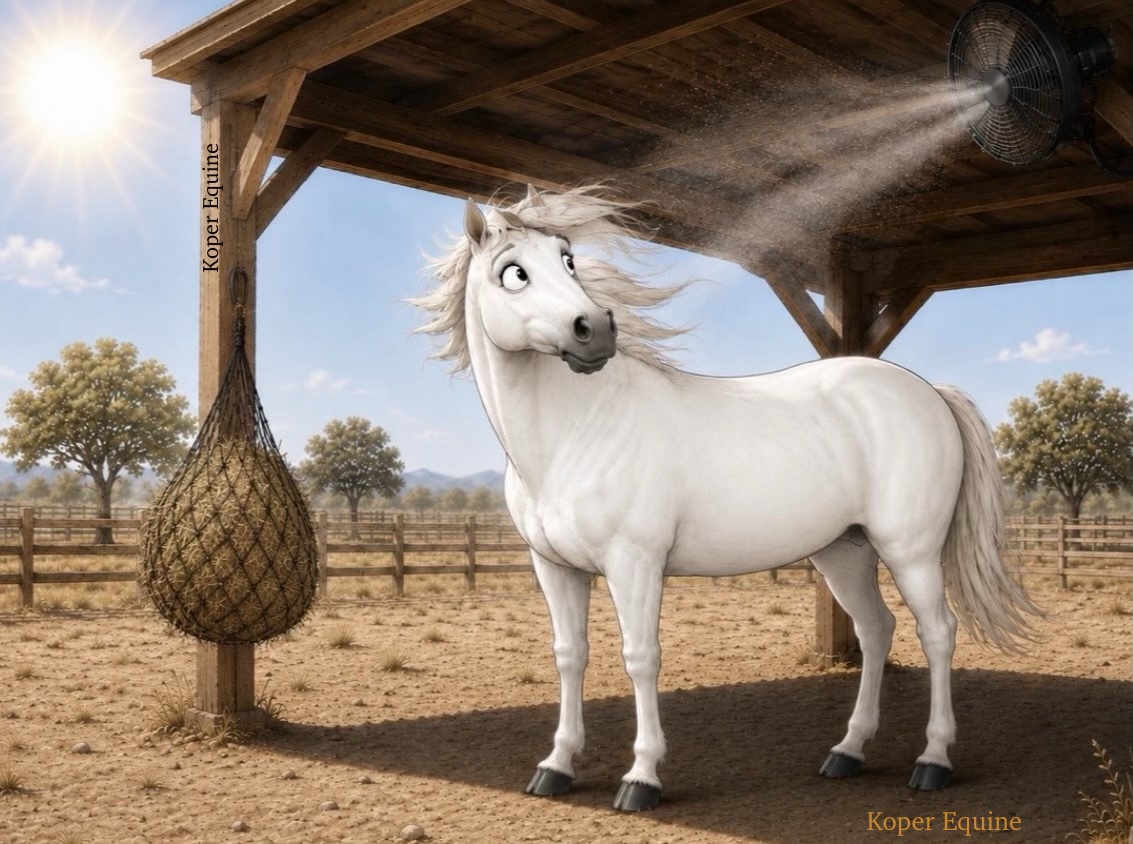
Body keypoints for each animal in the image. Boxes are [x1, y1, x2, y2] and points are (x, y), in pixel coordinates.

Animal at [412, 184, 1041, 812]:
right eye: (513, 273)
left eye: (568, 260)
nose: (594, 330)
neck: (575, 431)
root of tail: (928, 391)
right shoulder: (555, 567)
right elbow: (570, 654)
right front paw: (556, 767)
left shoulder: (634, 563)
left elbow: (641, 657)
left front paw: (641, 779)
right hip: (844, 551)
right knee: (876, 629)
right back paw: (847, 753)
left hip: (910, 550)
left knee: (937, 633)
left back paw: (932, 762)